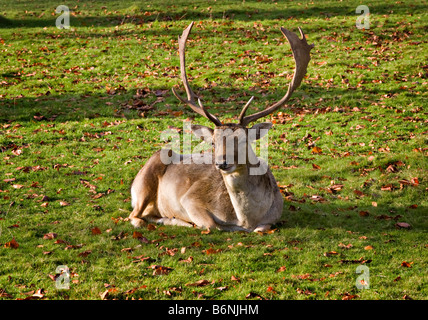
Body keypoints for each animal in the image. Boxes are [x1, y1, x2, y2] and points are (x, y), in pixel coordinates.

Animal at [129, 21, 312, 232]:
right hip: (145, 181)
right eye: (213, 143)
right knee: (134, 216)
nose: (221, 163)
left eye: (243, 141)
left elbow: (262, 228)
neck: (246, 220)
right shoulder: (190, 199)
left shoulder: (273, 216)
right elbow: (211, 225)